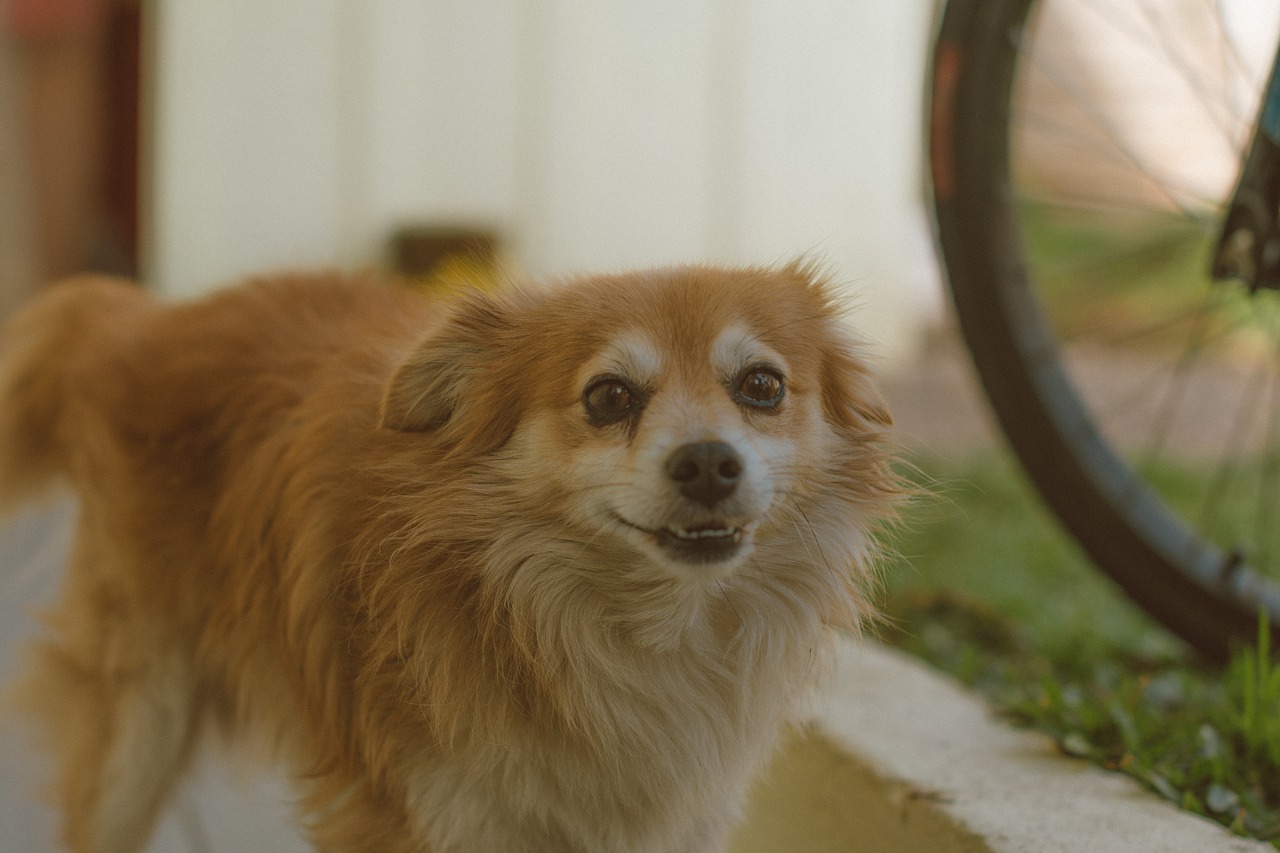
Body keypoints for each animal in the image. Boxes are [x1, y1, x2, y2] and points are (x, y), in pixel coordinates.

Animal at [0, 266, 901, 850]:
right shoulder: (420, 814)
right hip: (138, 726)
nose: (709, 462)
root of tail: (136, 320)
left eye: (762, 386)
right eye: (609, 397)